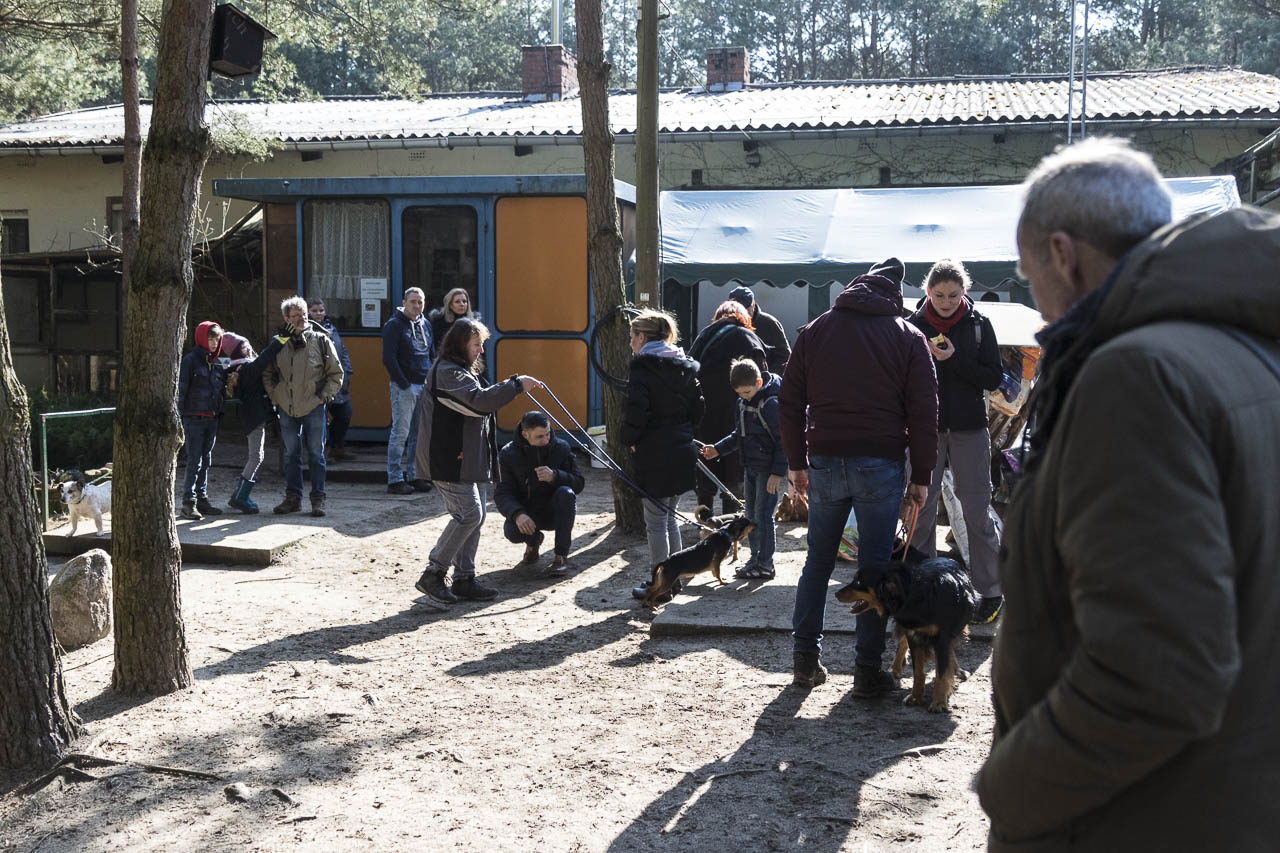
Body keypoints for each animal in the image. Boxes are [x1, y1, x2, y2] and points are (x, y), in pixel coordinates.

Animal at [835, 557, 978, 712]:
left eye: (859, 582)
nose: (836, 594)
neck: (917, 594)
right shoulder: (913, 634)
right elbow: (918, 671)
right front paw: (915, 697)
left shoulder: (942, 638)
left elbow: (941, 671)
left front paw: (939, 702)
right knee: (902, 644)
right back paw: (895, 668)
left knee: (949, 652)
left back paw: (956, 670)